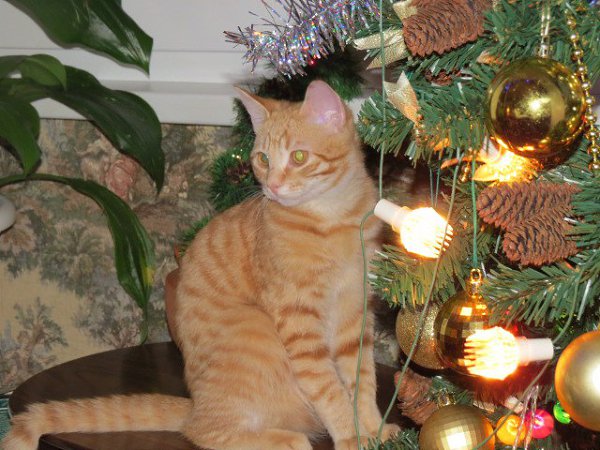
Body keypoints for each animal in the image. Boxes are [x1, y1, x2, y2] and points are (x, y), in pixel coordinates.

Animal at [2, 80, 400, 450]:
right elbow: (330, 390)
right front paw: (351, 437)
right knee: (204, 431)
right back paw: (284, 438)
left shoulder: (355, 316)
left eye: (299, 157)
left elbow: (362, 382)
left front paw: (373, 428)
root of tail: (194, 404)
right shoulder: (300, 324)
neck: (334, 220)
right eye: (263, 159)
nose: (272, 186)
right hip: (255, 333)